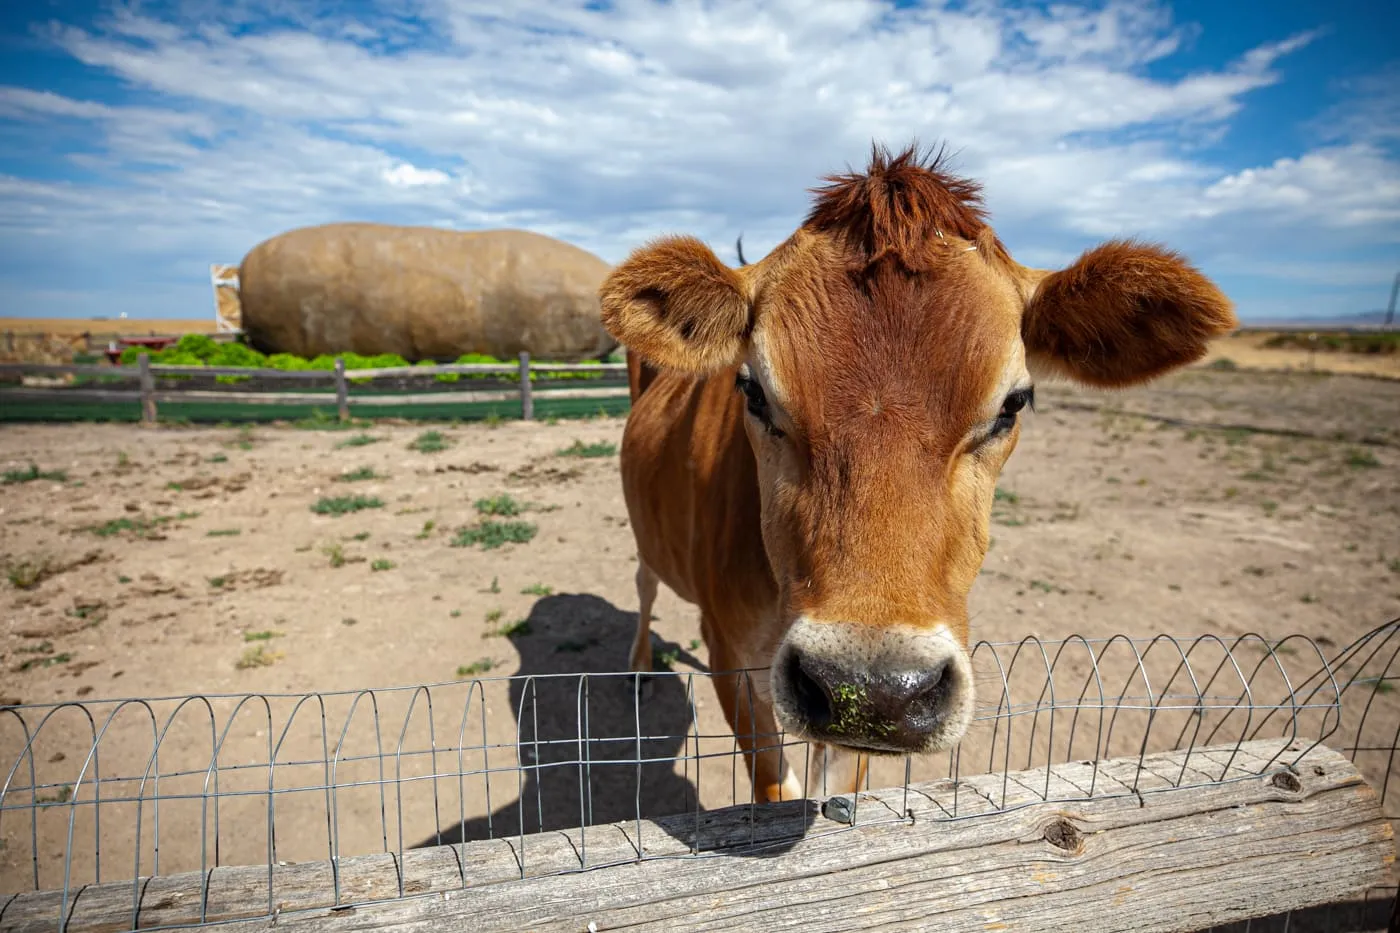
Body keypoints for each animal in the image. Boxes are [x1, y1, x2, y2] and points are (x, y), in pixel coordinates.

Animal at [602, 143, 1237, 801]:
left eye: (1013, 403)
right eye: (752, 391)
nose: (873, 689)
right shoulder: (731, 656)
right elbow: (775, 787)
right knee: (644, 582)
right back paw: (639, 665)